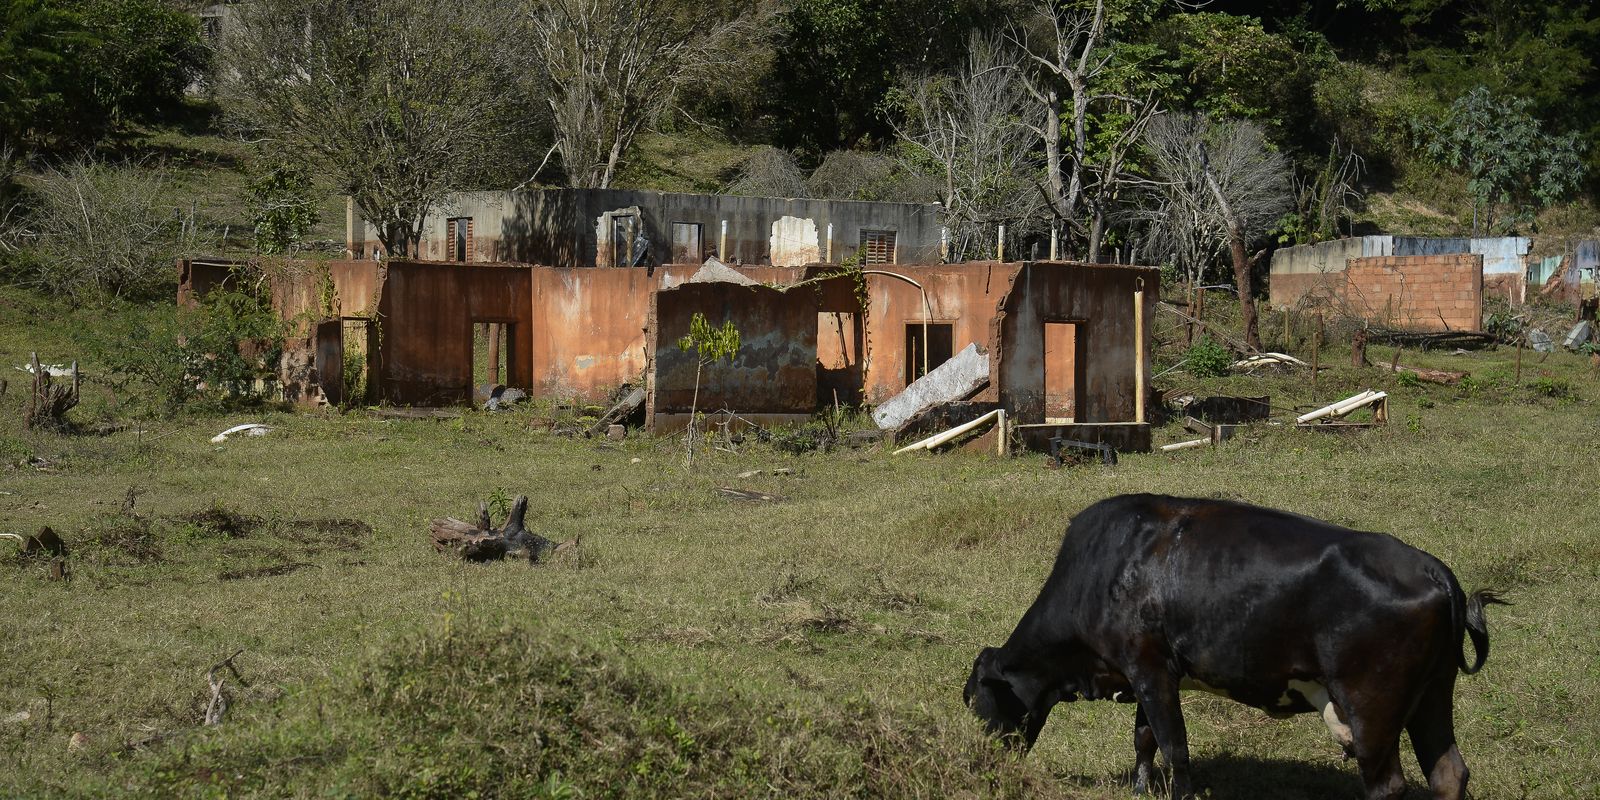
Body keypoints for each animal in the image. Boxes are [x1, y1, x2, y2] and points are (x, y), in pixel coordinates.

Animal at [966, 492, 1504, 800]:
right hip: (1432, 696)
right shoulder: (1150, 673)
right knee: (1448, 774)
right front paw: (1139, 789)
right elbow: (1144, 739)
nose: (985, 766)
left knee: (1387, 786)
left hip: (1371, 707)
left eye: (977, 703)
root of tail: (1433, 567)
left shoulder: (1149, 669)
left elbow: (1174, 748)